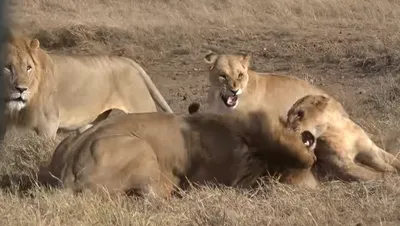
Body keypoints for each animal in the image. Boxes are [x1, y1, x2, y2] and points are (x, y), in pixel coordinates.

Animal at [1, 34, 173, 139]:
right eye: (8, 67)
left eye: (28, 67)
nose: (21, 89)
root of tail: (128, 60)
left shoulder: (48, 125)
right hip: (91, 123)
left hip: (142, 108)